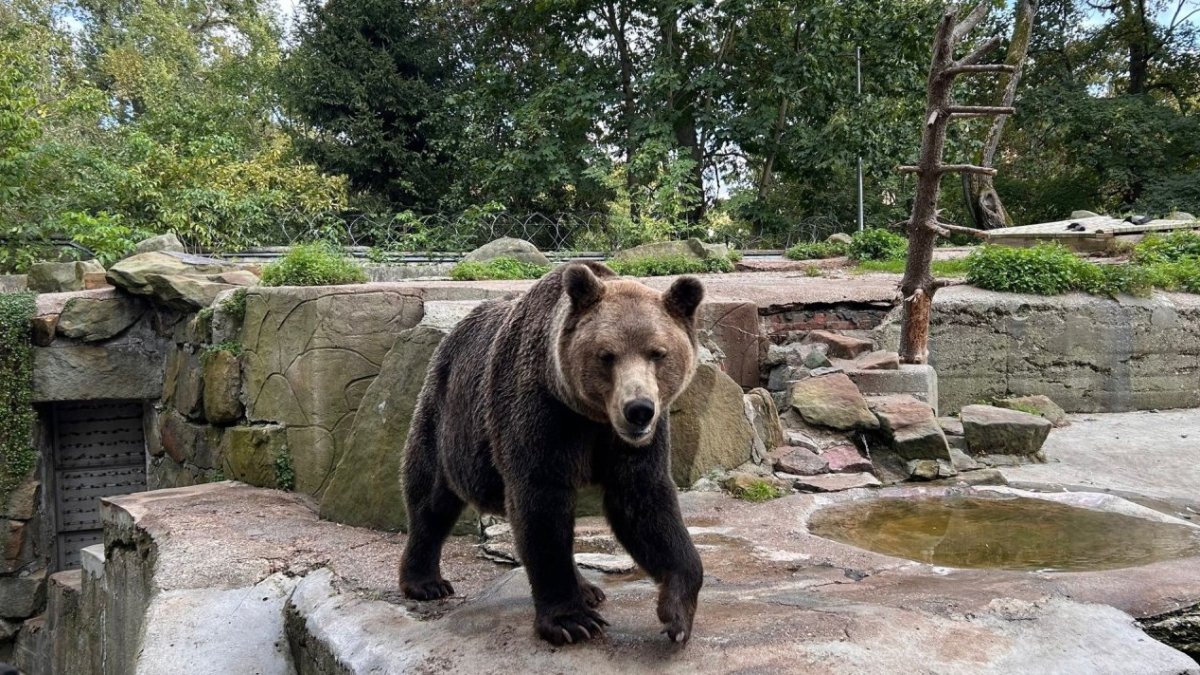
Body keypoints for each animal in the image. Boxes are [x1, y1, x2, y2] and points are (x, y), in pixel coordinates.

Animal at [399, 261, 705, 646]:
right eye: (607, 355)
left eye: (658, 353)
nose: (638, 409)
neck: (590, 415)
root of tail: (452, 334)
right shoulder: (543, 415)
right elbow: (542, 504)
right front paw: (571, 621)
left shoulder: (629, 443)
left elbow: (645, 504)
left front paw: (676, 615)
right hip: (446, 416)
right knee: (430, 496)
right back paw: (425, 583)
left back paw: (588, 588)